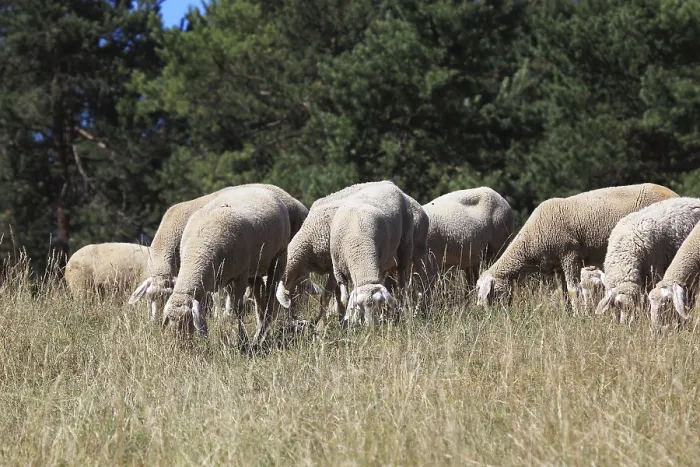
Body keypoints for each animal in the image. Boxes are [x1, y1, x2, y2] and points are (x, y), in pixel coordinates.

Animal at [162, 186, 290, 348]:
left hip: (279, 256)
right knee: (259, 295)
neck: (198, 251)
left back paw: (260, 335)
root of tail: (260, 188)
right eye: (169, 322)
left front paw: (241, 339)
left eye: (188, 322)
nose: (178, 347)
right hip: (254, 268)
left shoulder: (240, 275)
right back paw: (259, 331)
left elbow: (237, 309)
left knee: (270, 298)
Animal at [328, 184, 415, 326]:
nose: (371, 327)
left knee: (402, 284)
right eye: (359, 306)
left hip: (405, 245)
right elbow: (345, 299)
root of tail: (388, 183)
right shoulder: (338, 270)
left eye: (379, 304)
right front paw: (349, 320)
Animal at [476, 183, 678, 308]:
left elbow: (574, 291)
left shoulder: (570, 256)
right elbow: (564, 294)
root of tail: (674, 194)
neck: (529, 244)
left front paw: (578, 316)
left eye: (490, 293)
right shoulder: (557, 266)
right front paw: (567, 315)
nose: (493, 316)